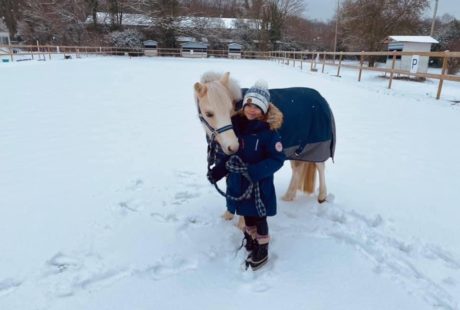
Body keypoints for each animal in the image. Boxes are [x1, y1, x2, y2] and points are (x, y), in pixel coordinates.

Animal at [192, 71, 336, 219]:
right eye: (209, 114)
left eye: (230, 109)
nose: (233, 146)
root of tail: (321, 99)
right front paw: (228, 216)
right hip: (299, 150)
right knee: (298, 168)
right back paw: (288, 196)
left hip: (318, 147)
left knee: (320, 167)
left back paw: (322, 196)